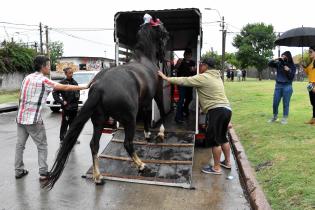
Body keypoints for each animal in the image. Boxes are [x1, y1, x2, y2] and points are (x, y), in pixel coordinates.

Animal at [43, 18, 170, 189]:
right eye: (164, 33)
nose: (164, 56)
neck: (145, 60)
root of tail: (99, 86)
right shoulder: (157, 93)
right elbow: (161, 111)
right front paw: (161, 133)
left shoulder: (145, 100)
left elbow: (147, 113)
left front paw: (148, 134)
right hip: (129, 119)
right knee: (127, 143)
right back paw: (142, 165)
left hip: (99, 120)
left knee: (94, 145)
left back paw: (98, 176)